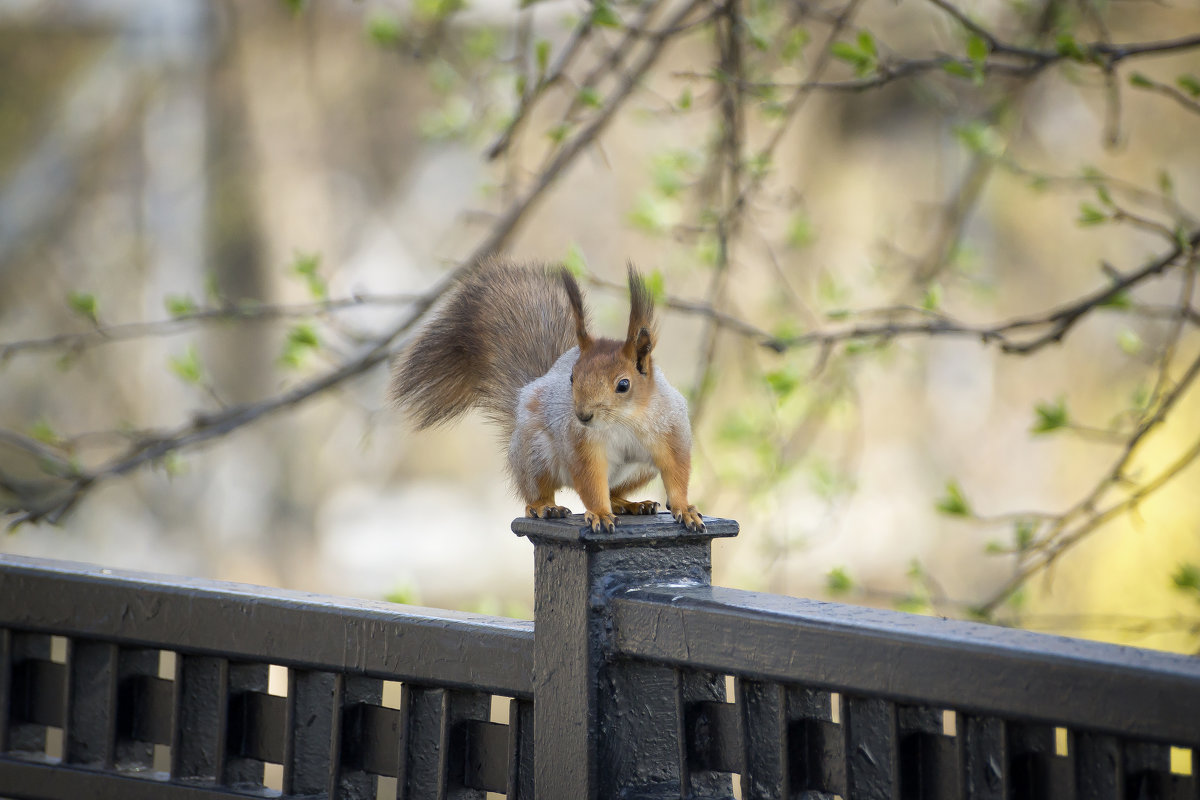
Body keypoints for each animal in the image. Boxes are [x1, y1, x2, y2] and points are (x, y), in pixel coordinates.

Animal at [391, 260, 700, 534]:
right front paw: (599, 513)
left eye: (624, 384)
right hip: (535, 453)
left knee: (613, 491)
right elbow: (590, 483)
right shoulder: (580, 446)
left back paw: (632, 503)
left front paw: (684, 509)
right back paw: (545, 507)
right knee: (537, 490)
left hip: (640, 471)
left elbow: (677, 472)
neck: (624, 422)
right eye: (572, 377)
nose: (583, 415)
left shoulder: (671, 433)